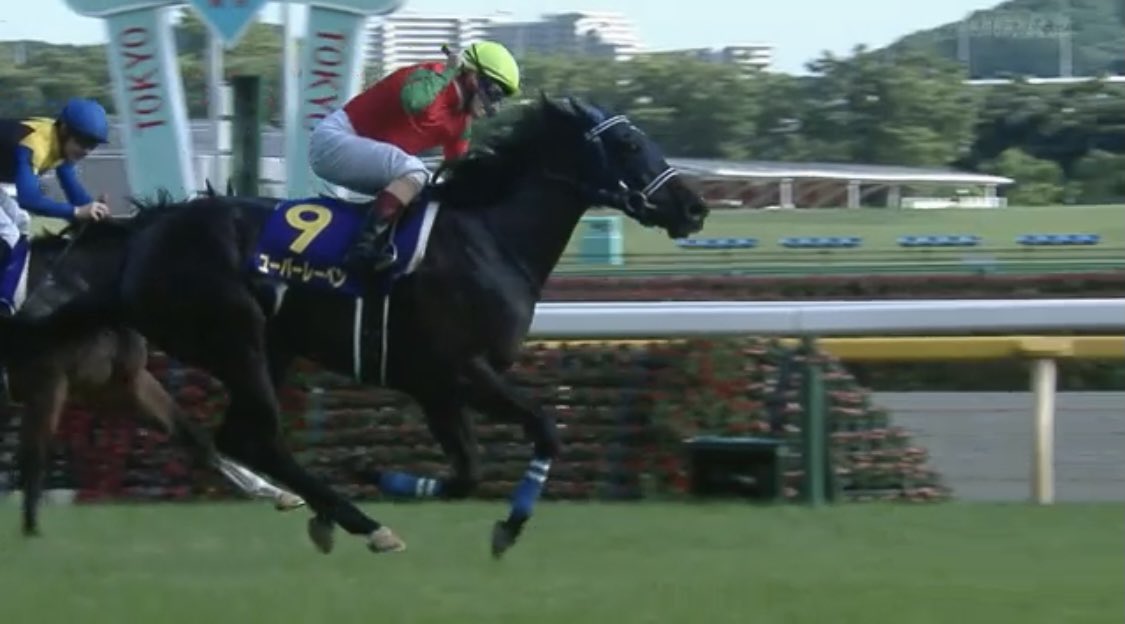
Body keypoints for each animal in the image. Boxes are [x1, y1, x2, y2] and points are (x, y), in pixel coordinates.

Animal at [0, 214, 305, 537]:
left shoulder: (118, 385)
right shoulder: (46, 382)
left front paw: (278, 493)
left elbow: (196, 439)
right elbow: (33, 458)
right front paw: (32, 532)